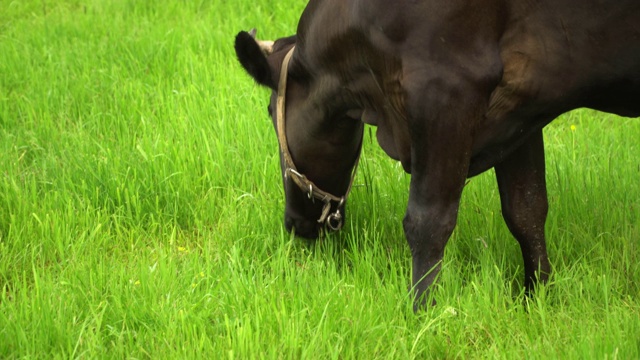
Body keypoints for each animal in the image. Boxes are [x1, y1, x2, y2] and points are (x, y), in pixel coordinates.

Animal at [235, 0, 640, 310]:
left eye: (269, 111)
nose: (293, 222)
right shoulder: (521, 107)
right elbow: (527, 209)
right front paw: (537, 299)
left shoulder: (445, 88)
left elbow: (427, 222)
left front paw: (422, 311)